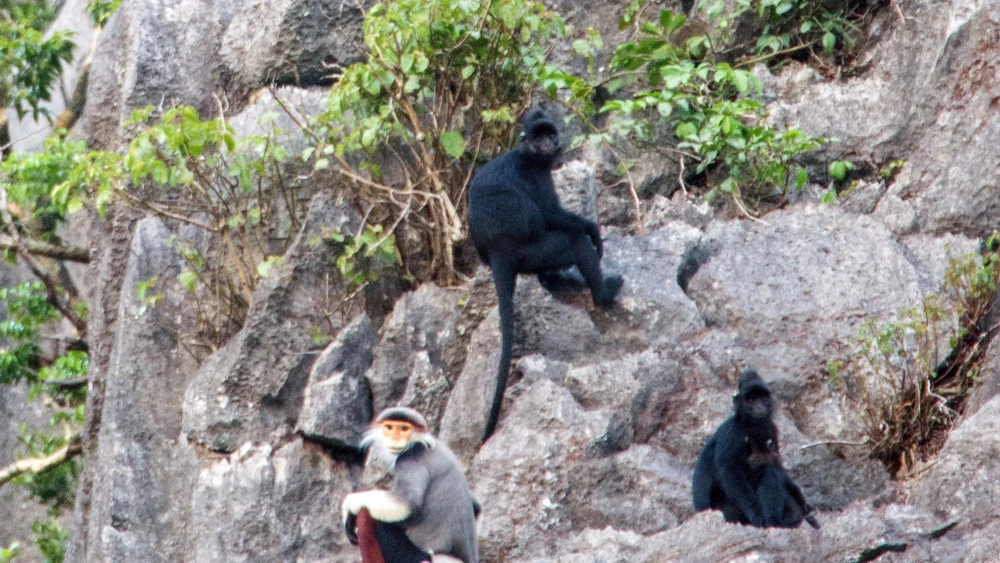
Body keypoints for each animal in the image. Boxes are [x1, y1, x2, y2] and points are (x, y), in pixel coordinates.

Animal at [344, 408, 480, 560]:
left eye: (404, 429)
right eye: (389, 428)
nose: (395, 439)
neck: (419, 442)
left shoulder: (409, 458)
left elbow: (408, 503)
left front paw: (349, 507)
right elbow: (476, 505)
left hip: (415, 556)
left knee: (366, 515)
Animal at [466, 108, 620, 446]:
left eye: (549, 134)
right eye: (538, 138)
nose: (548, 143)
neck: (526, 155)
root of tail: (498, 250)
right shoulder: (537, 174)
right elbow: (551, 214)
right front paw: (592, 229)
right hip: (535, 251)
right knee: (574, 243)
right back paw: (603, 293)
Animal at [688, 370, 820, 528]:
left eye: (762, 398)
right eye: (751, 400)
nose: (759, 406)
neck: (752, 426)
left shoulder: (771, 430)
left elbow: (777, 464)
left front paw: (799, 496)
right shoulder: (733, 432)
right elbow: (730, 471)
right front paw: (755, 513)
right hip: (728, 509)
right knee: (767, 470)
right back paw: (777, 521)